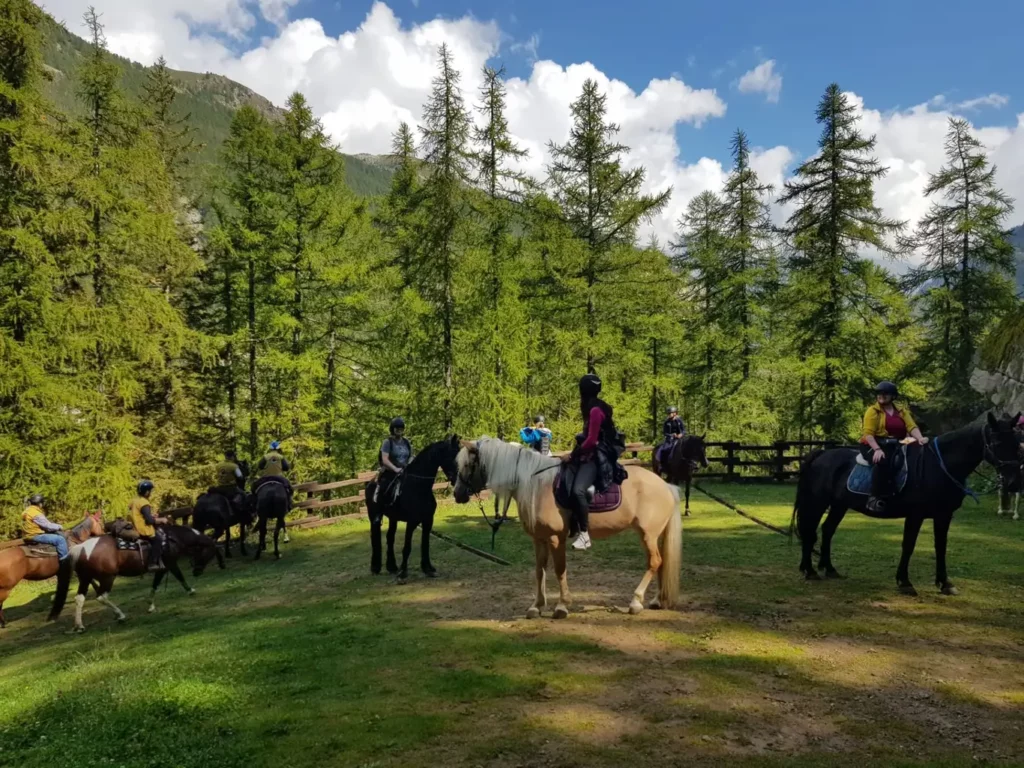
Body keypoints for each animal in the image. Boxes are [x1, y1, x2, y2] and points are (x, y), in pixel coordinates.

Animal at [48, 525, 223, 632]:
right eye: (209, 553)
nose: (197, 572)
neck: (171, 538)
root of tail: (82, 547)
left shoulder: (162, 569)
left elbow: (155, 585)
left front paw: (150, 605)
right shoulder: (170, 564)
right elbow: (179, 577)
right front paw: (191, 590)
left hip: (85, 579)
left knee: (79, 599)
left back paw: (79, 626)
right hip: (107, 578)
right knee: (101, 597)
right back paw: (120, 615)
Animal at [365, 435, 460, 580]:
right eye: (452, 456)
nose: (459, 479)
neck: (418, 486)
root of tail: (370, 483)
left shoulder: (428, 521)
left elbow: (425, 545)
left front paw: (427, 568)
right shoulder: (411, 522)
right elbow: (407, 547)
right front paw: (403, 573)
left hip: (393, 518)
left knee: (390, 537)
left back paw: (392, 567)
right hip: (374, 516)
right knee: (375, 537)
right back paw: (376, 567)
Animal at [453, 437, 682, 618]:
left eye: (468, 464)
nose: (457, 494)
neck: (536, 485)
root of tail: (665, 485)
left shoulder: (556, 538)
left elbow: (559, 570)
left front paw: (562, 606)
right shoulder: (539, 539)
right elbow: (540, 570)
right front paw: (536, 606)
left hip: (647, 534)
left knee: (654, 562)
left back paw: (635, 602)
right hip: (655, 535)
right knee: (661, 563)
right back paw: (657, 600)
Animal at [791, 412, 1023, 596]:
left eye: (1017, 444)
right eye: (997, 444)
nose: (1014, 483)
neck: (939, 466)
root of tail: (821, 453)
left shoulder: (944, 515)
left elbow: (941, 547)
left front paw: (945, 583)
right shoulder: (915, 515)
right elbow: (908, 545)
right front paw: (904, 582)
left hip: (839, 505)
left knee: (827, 530)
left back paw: (829, 569)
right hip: (817, 502)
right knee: (810, 531)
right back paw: (809, 570)